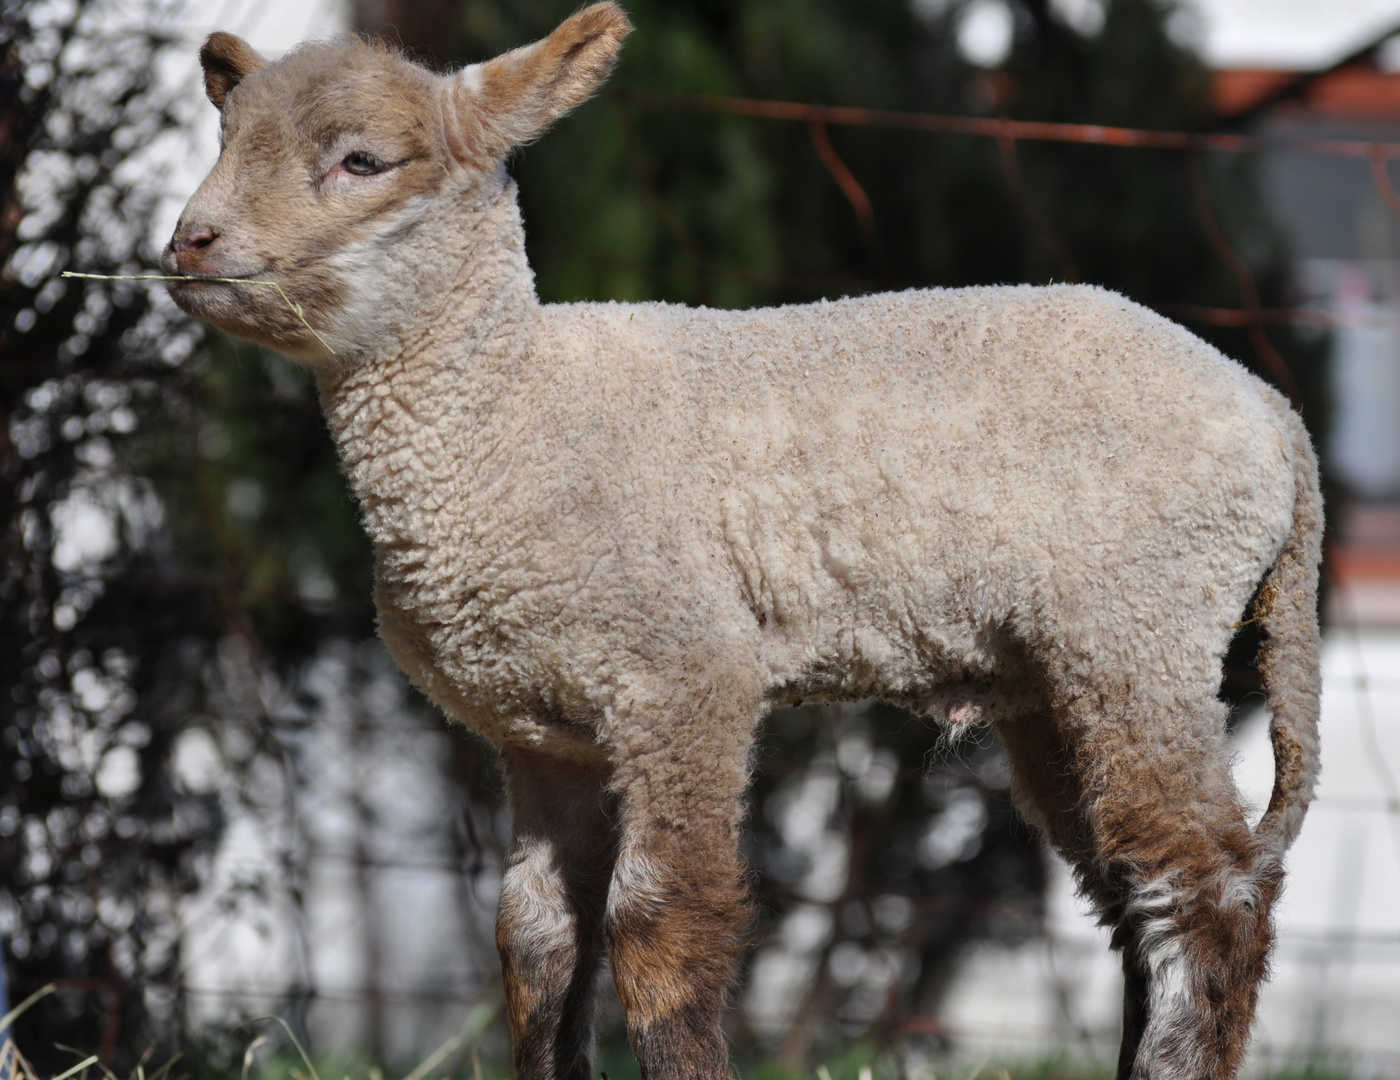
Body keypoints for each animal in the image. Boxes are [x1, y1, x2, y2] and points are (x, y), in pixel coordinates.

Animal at [163, 4, 1321, 1075]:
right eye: (224, 139)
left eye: (359, 159)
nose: (188, 243)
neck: (516, 412)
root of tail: (1269, 412)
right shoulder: (540, 732)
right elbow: (535, 944)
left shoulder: (683, 673)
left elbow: (659, 924)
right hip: (1053, 673)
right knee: (1130, 892)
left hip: (1138, 629)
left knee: (1204, 890)